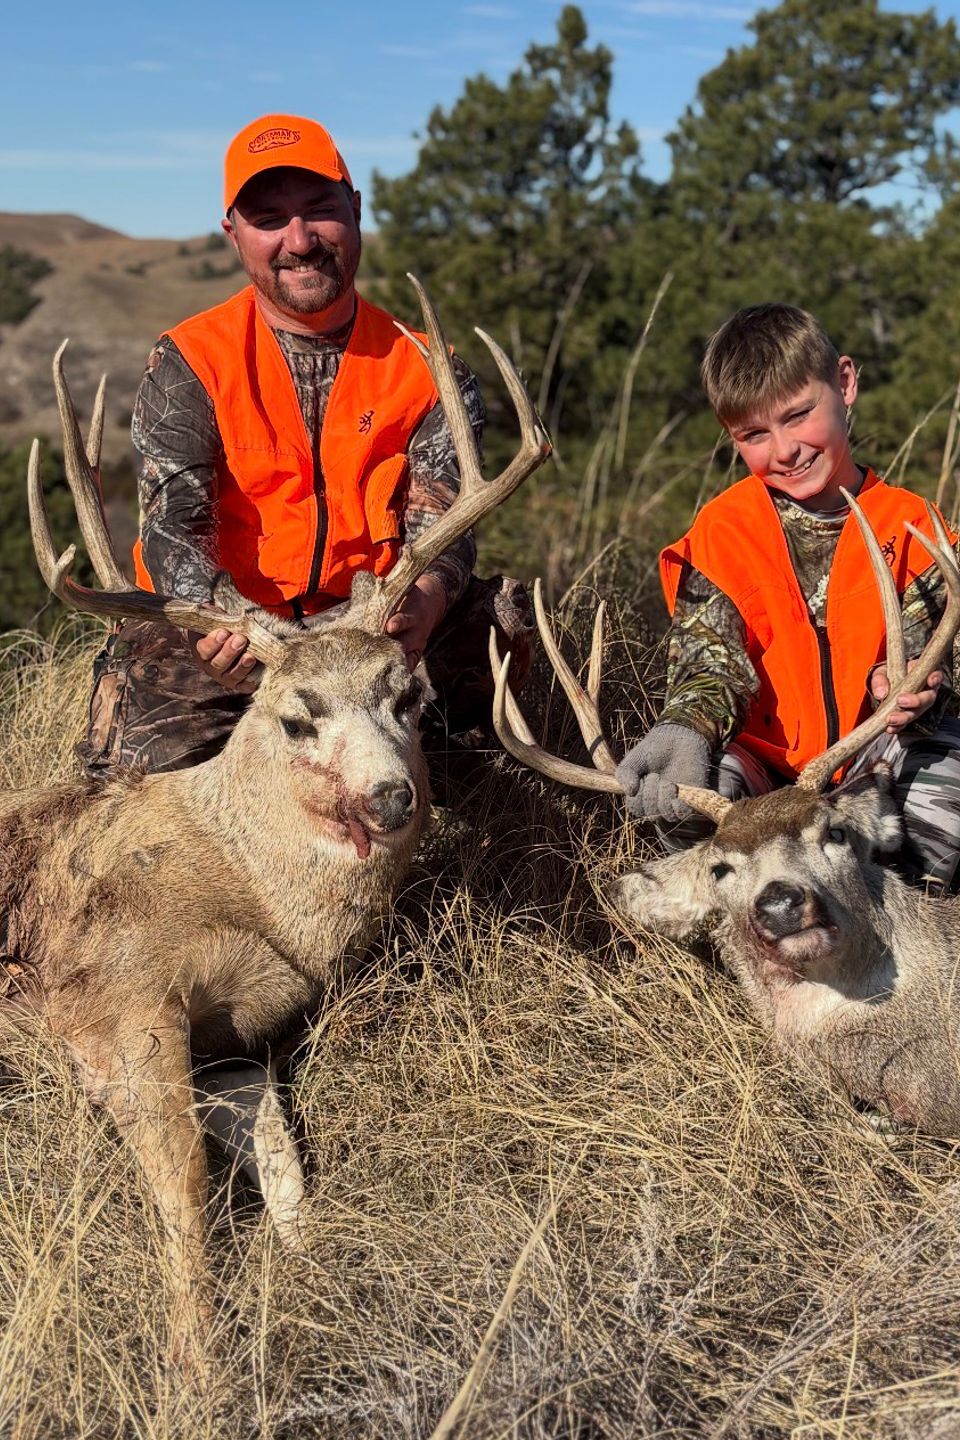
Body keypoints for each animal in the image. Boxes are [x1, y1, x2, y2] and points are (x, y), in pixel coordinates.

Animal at [0, 275, 551, 1366]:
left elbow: (283, 1156)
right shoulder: (119, 999)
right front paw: (199, 1361)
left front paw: (313, 1272)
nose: (392, 797)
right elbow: (183, 1186)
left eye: (409, 696)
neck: (248, 892)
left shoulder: (235, 1042)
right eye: (298, 715)